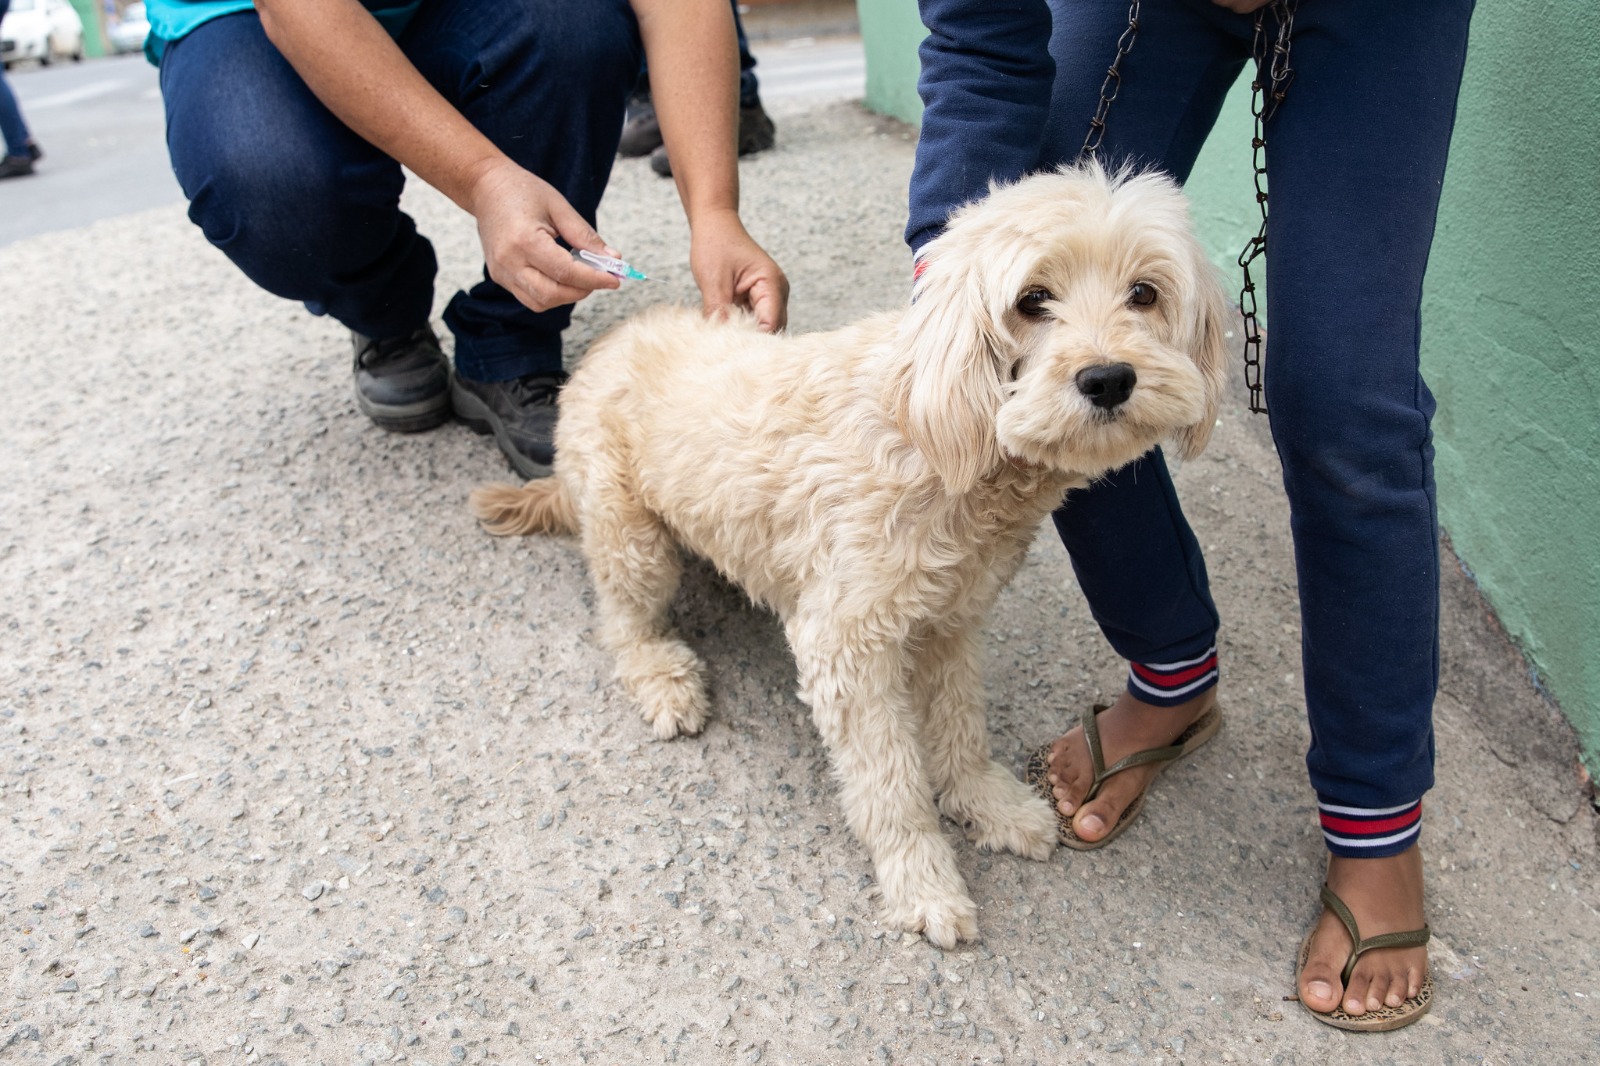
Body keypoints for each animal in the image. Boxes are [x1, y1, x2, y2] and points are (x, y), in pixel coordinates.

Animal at [467, 161, 1228, 941]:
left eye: (1145, 292)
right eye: (1032, 300)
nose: (1109, 379)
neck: (937, 433)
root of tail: (610, 341)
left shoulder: (952, 621)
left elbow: (961, 726)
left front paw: (986, 802)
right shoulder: (847, 646)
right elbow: (890, 783)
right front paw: (921, 880)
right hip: (632, 540)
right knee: (623, 623)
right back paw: (663, 677)